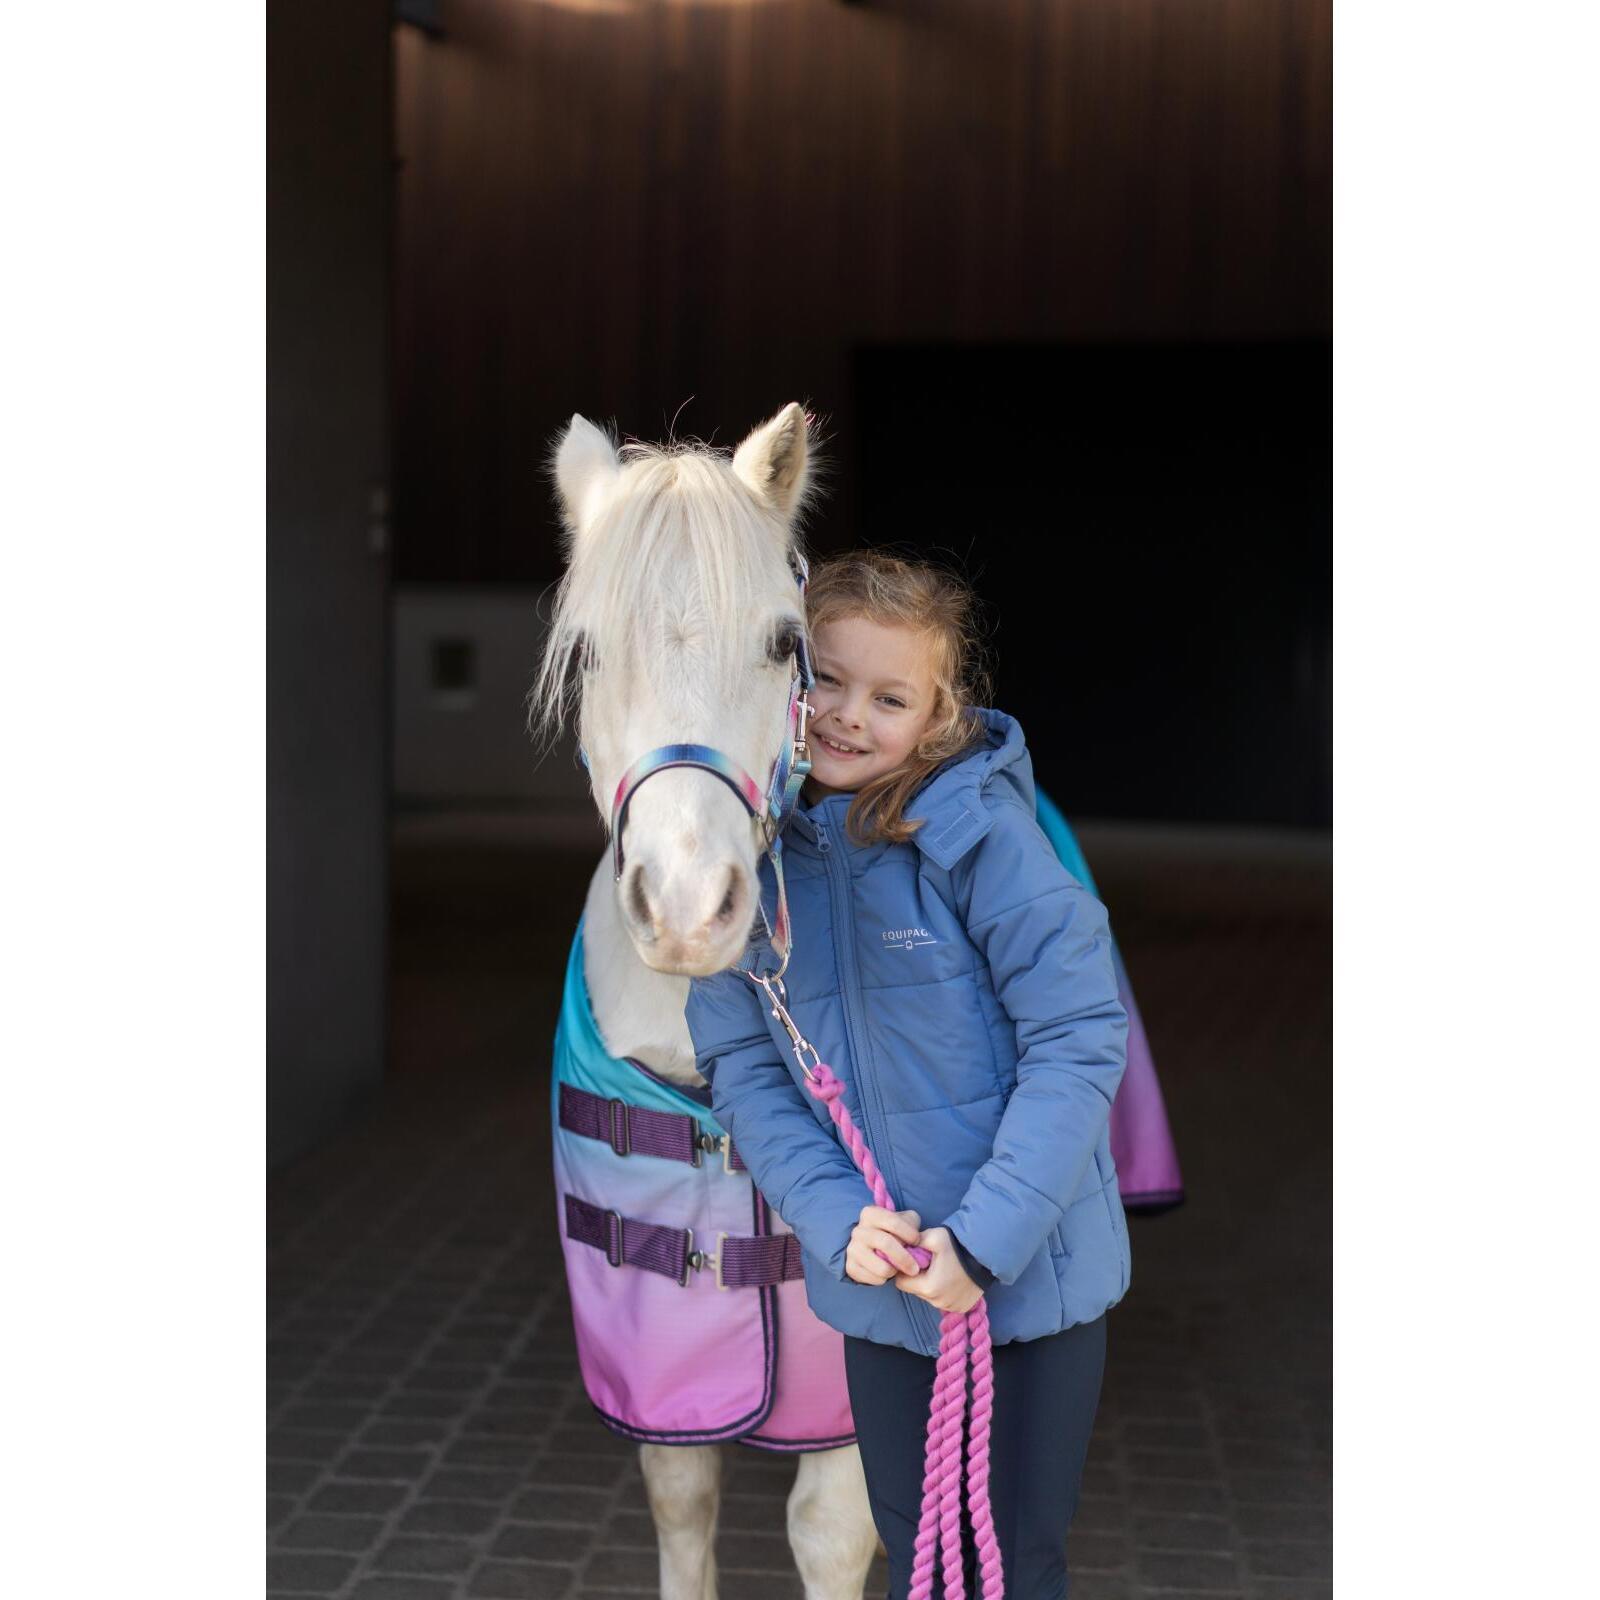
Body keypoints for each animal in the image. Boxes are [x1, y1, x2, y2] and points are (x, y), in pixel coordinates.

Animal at [530, 404, 881, 1600]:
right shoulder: (655, 1315)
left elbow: (832, 1527)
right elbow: (681, 1492)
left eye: (782, 641)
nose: (688, 909)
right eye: (591, 651)